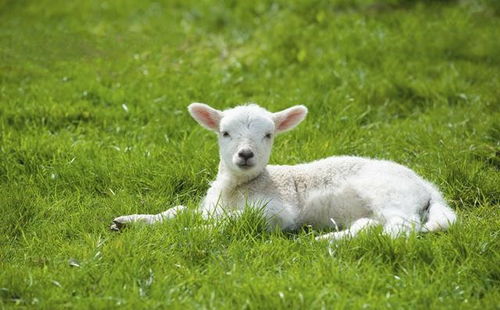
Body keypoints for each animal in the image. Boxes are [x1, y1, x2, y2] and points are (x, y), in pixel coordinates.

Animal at [112, 103, 458, 241]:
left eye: (268, 135)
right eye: (225, 133)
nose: (246, 154)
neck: (236, 189)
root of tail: (427, 187)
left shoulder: (276, 212)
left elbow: (231, 223)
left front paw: (190, 233)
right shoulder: (209, 207)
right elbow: (177, 211)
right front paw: (130, 221)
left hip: (389, 194)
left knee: (401, 228)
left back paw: (327, 242)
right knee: (371, 226)